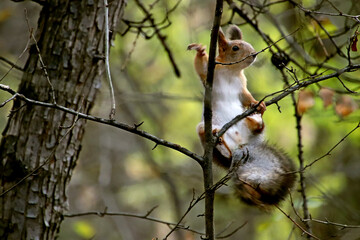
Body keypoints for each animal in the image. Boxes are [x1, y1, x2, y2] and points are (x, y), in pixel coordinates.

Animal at [188, 24, 296, 210]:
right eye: (235, 48)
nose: (254, 54)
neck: (231, 71)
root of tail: (242, 144)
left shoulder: (242, 86)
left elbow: (246, 96)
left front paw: (258, 104)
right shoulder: (210, 73)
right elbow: (201, 67)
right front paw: (201, 51)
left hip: (250, 130)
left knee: (258, 128)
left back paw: (256, 119)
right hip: (207, 129)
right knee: (223, 150)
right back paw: (221, 143)